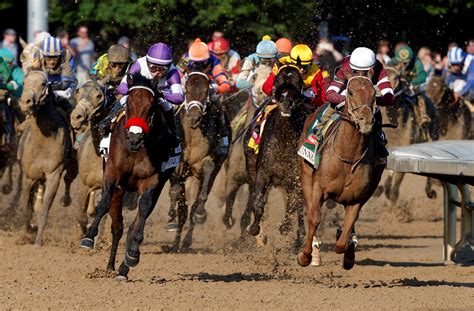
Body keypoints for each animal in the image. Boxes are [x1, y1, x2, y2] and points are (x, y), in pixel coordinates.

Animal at [16, 71, 75, 246]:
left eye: (43, 83)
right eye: (24, 81)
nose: (26, 101)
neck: (43, 140)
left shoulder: (53, 175)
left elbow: (43, 210)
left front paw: (38, 242)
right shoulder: (28, 176)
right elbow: (26, 209)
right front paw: (24, 235)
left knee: (69, 179)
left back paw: (66, 200)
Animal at [79, 74, 176, 282]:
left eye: (151, 107)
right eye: (129, 104)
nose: (134, 138)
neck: (136, 150)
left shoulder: (152, 180)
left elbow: (142, 213)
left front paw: (132, 254)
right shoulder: (113, 173)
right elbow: (104, 202)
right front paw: (88, 237)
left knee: (132, 224)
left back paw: (123, 268)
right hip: (120, 189)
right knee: (117, 226)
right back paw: (110, 266)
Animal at [168, 70, 231, 251]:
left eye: (205, 92)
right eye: (187, 90)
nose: (194, 118)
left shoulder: (212, 159)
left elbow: (208, 167)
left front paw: (201, 213)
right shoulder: (179, 161)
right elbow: (176, 189)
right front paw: (171, 216)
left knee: (192, 207)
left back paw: (185, 241)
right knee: (182, 207)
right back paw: (175, 242)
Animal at [241, 66, 308, 251]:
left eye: (298, 81)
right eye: (278, 80)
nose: (286, 102)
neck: (284, 140)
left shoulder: (297, 178)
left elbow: (295, 205)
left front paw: (287, 229)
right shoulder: (263, 172)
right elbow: (258, 201)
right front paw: (255, 229)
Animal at [298, 75, 386, 270]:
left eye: (374, 93)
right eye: (350, 92)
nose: (365, 121)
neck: (347, 155)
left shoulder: (357, 198)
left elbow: (344, 236)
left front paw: (348, 249)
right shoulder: (319, 187)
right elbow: (314, 218)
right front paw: (305, 256)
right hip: (306, 175)